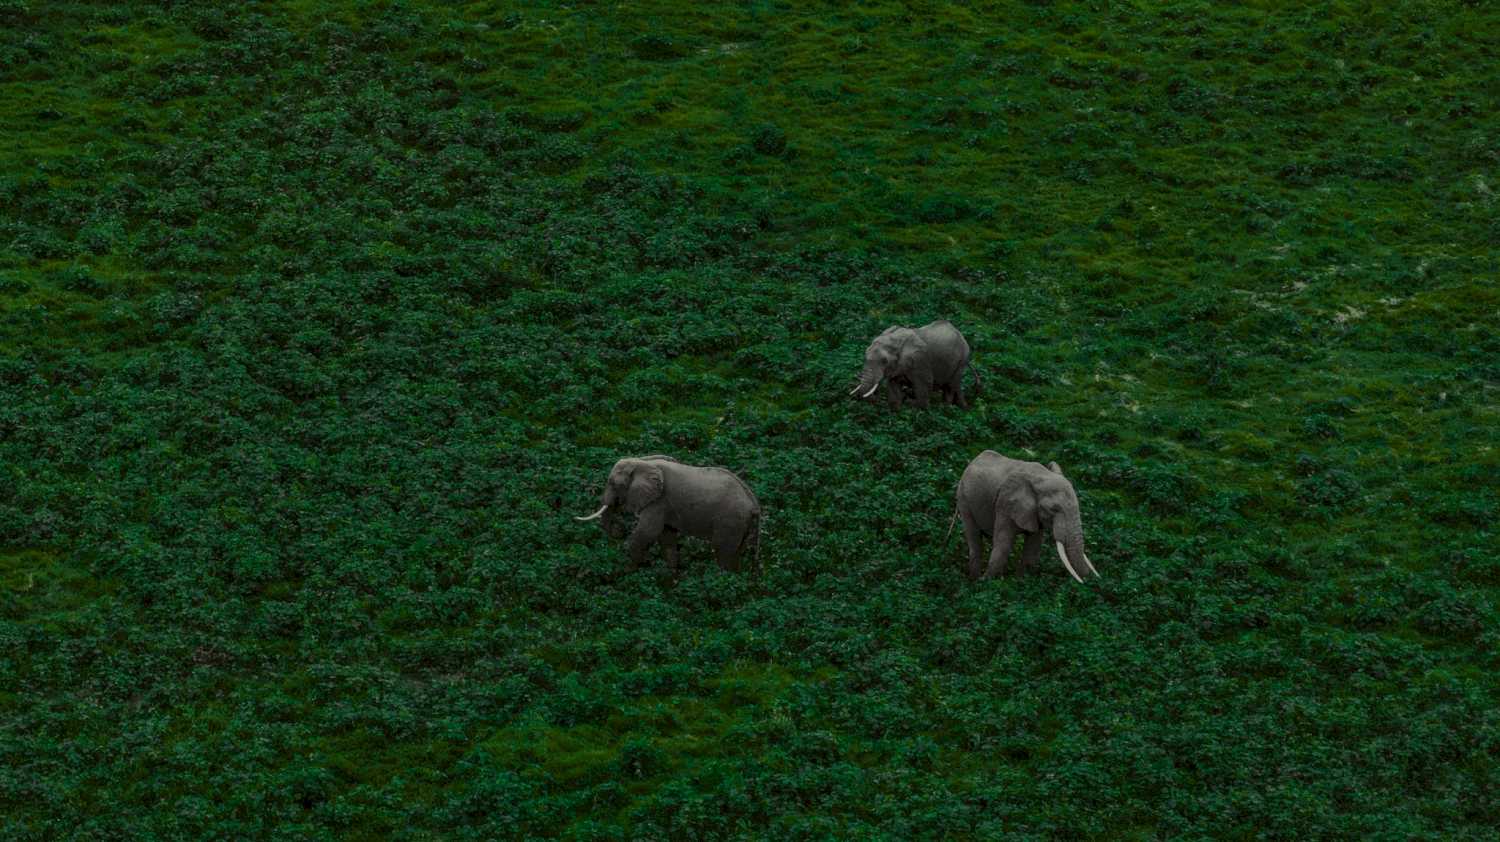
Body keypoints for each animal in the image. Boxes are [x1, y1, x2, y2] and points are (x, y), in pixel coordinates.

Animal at [575, 455, 761, 574]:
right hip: (742, 523)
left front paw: (627, 571)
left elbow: (647, 533)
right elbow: (666, 536)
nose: (619, 531)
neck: (643, 462)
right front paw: (671, 578)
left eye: (613, 483)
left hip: (731, 520)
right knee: (736, 552)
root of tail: (753, 503)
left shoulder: (659, 501)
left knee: (723, 551)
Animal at [948, 450, 1098, 582]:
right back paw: (974, 580)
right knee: (974, 538)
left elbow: (1033, 548)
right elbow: (1003, 545)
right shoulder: (1005, 504)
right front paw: (986, 582)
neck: (1041, 476)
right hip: (963, 499)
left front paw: (1020, 582)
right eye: (1053, 509)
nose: (1088, 581)